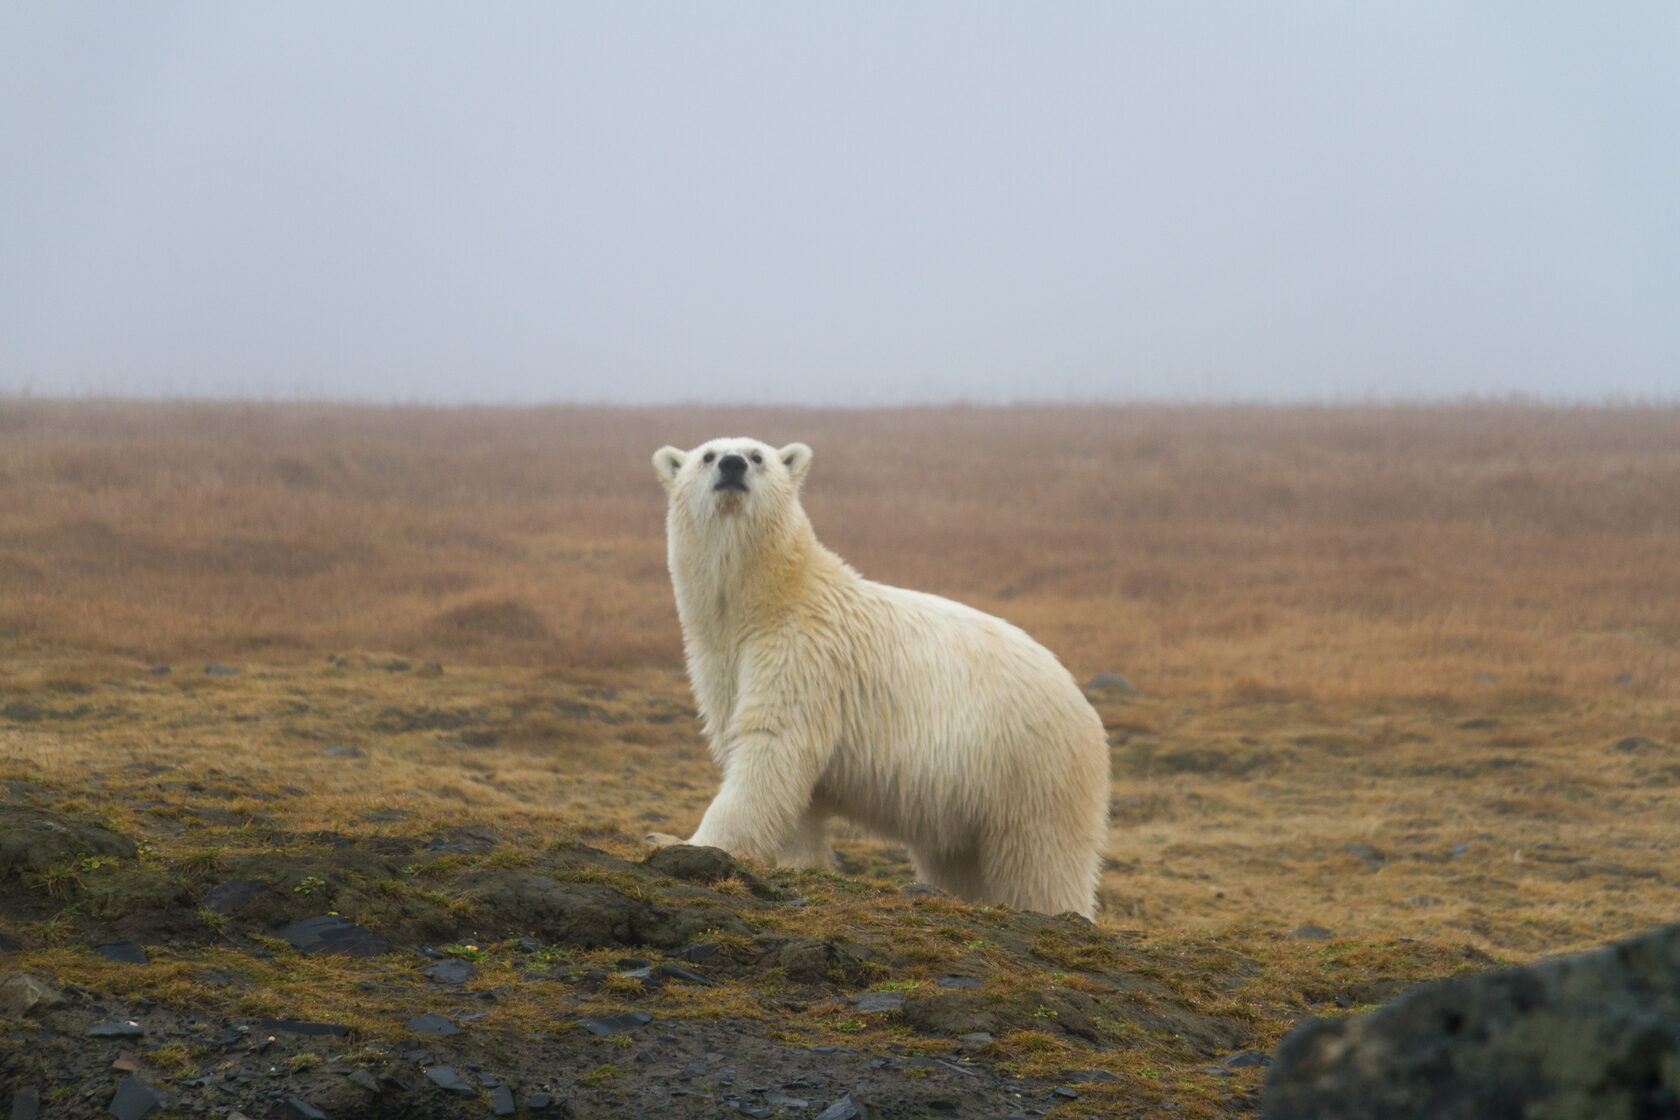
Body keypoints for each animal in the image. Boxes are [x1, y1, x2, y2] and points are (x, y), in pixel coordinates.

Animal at [648, 436, 1108, 920]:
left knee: (1042, 859)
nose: (733, 465)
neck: (766, 601)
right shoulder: (722, 663)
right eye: (708, 456)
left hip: (1030, 766)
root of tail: (1083, 704)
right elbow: (787, 783)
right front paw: (801, 860)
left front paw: (681, 841)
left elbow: (772, 745)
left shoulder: (804, 653)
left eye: (757, 456)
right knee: (958, 858)